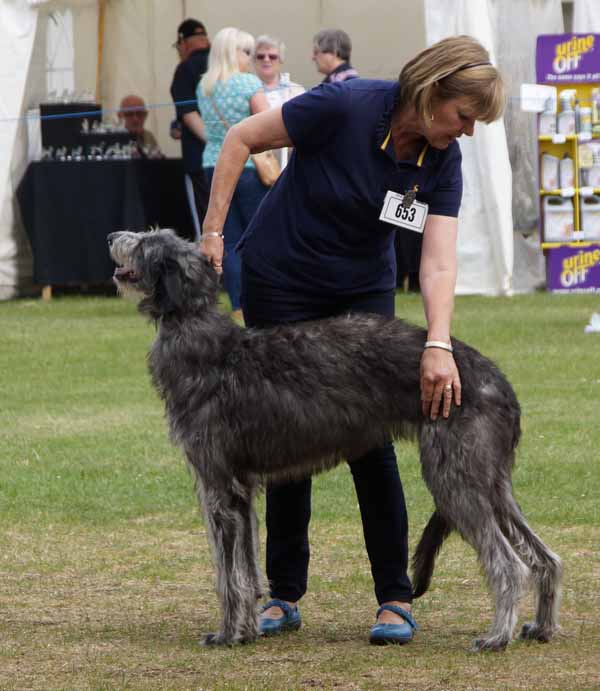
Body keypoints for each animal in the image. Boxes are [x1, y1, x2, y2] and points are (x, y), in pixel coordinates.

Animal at [108, 230, 564, 652]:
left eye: (146, 242)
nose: (113, 236)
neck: (200, 334)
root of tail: (500, 385)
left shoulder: (217, 486)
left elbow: (228, 576)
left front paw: (226, 634)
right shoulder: (242, 491)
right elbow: (248, 570)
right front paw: (249, 629)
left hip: (455, 478)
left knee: (508, 564)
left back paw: (496, 636)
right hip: (492, 482)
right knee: (545, 557)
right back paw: (540, 626)